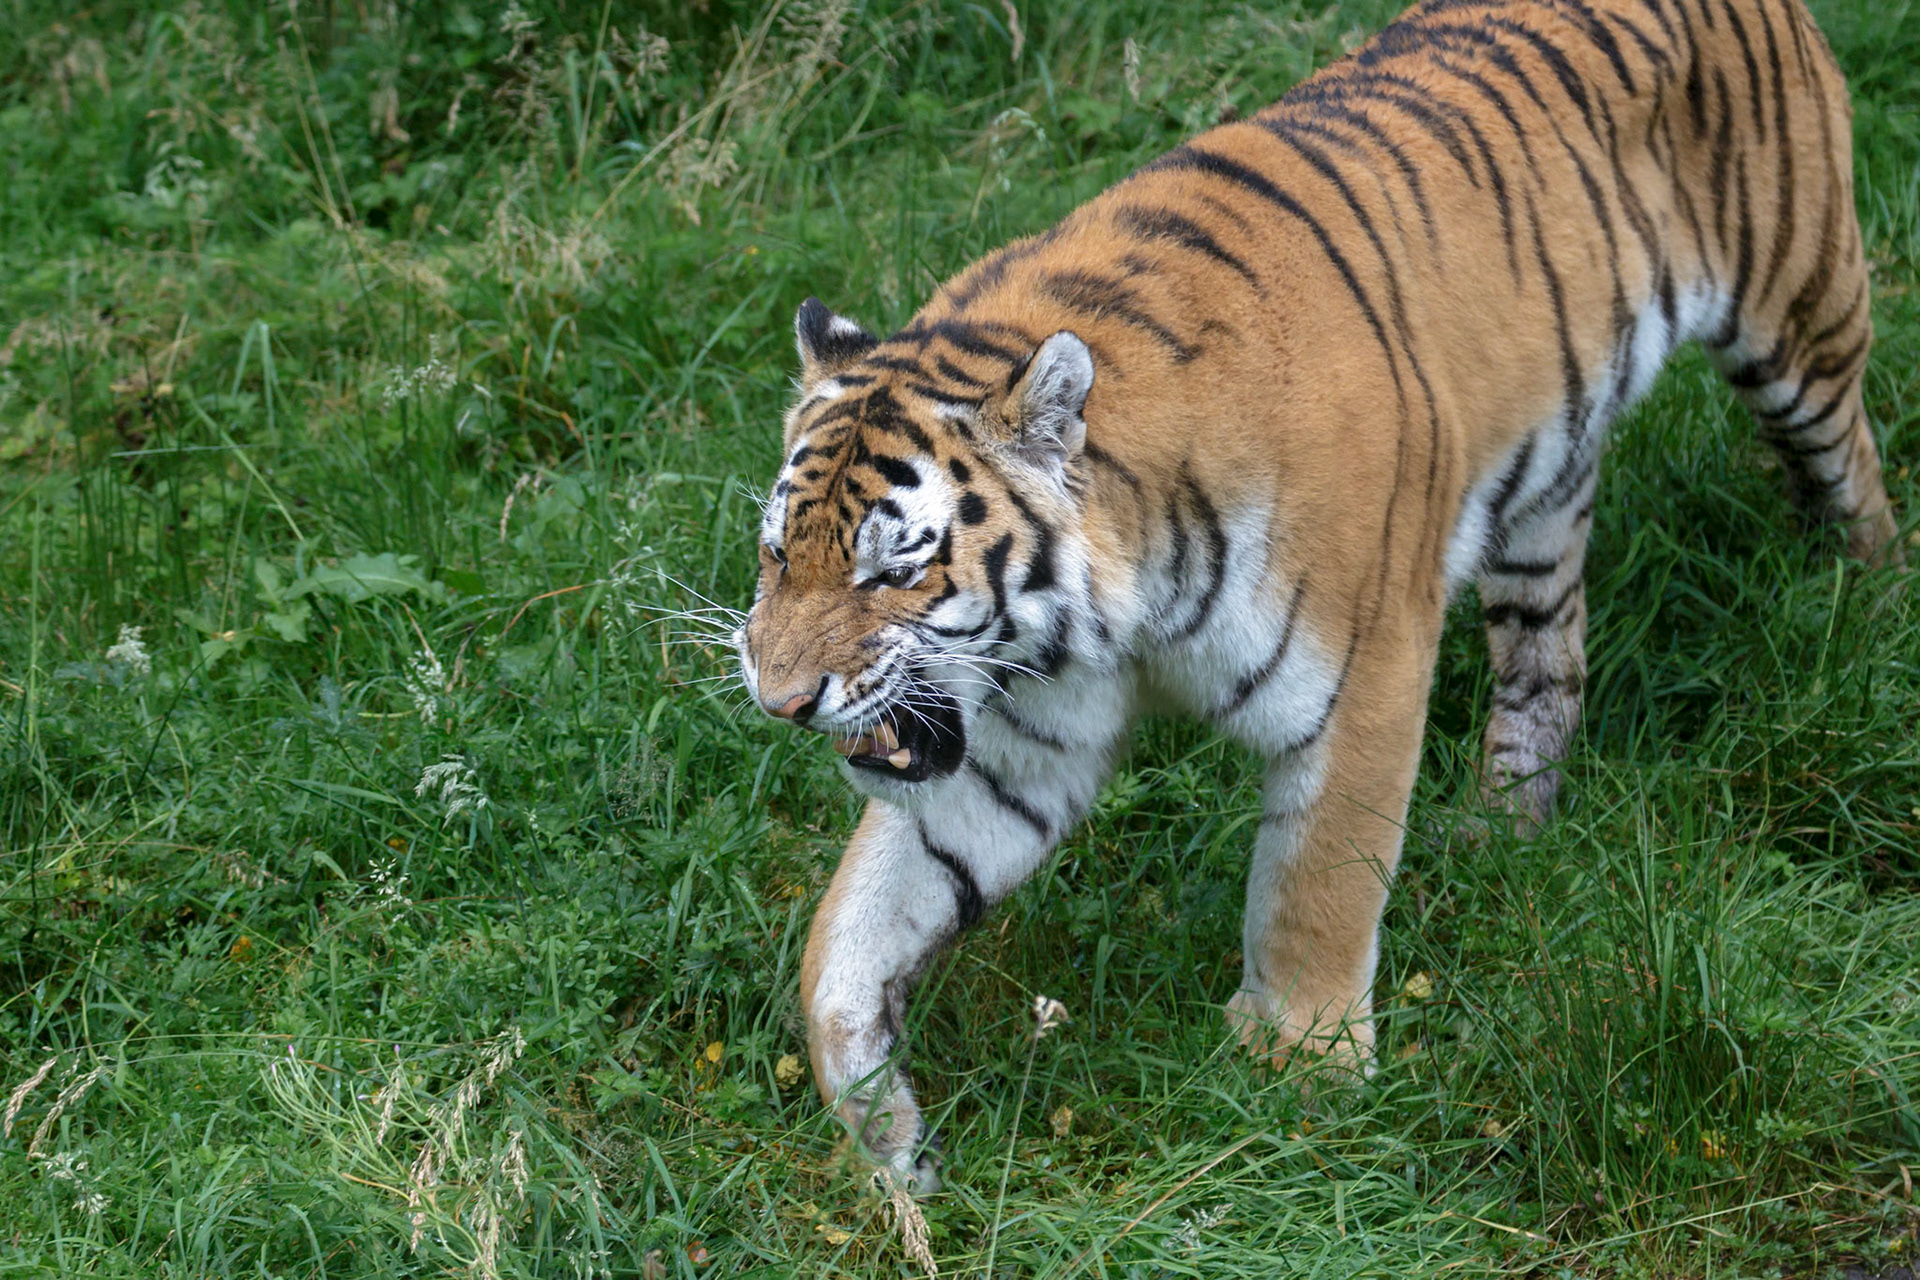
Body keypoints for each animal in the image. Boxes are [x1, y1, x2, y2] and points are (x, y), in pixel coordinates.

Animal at [732, 0, 1903, 1189]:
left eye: (895, 568)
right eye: (779, 555)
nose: (780, 701)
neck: (1111, 619)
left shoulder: (1367, 671)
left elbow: (1320, 883)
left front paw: (1302, 1081)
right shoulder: (1026, 741)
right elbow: (865, 914)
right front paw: (877, 1118)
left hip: (1801, 317)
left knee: (1856, 467)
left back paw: (1863, 608)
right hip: (1546, 495)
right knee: (1550, 657)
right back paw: (1502, 831)